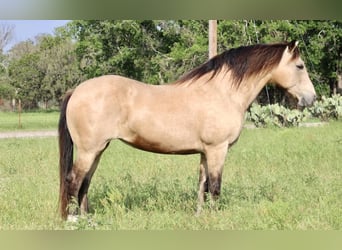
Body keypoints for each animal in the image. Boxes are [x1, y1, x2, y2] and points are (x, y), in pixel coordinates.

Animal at [58, 40, 316, 220]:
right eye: (300, 66)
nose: (311, 98)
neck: (222, 92)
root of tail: (76, 90)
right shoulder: (217, 150)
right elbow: (215, 186)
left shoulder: (204, 152)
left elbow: (202, 186)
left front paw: (200, 216)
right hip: (89, 151)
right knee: (73, 181)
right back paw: (73, 220)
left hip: (98, 150)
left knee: (84, 184)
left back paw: (88, 220)